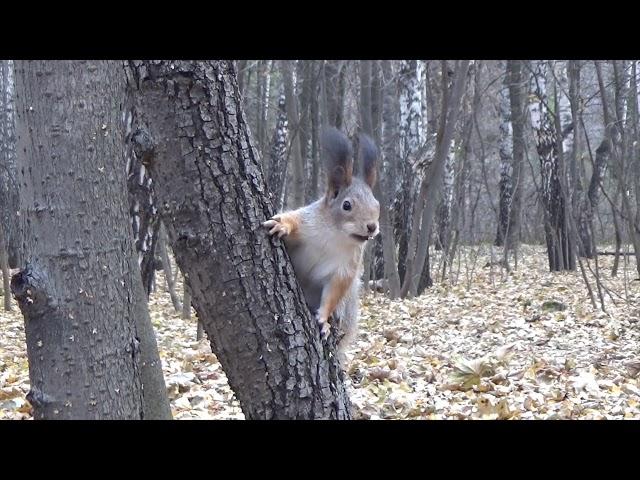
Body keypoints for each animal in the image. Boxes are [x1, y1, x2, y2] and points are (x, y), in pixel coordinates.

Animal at [264, 127, 380, 360]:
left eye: (377, 204)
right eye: (347, 205)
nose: (372, 227)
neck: (336, 236)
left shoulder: (347, 267)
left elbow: (334, 291)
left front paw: (323, 320)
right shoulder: (308, 221)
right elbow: (293, 220)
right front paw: (282, 225)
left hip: (348, 302)